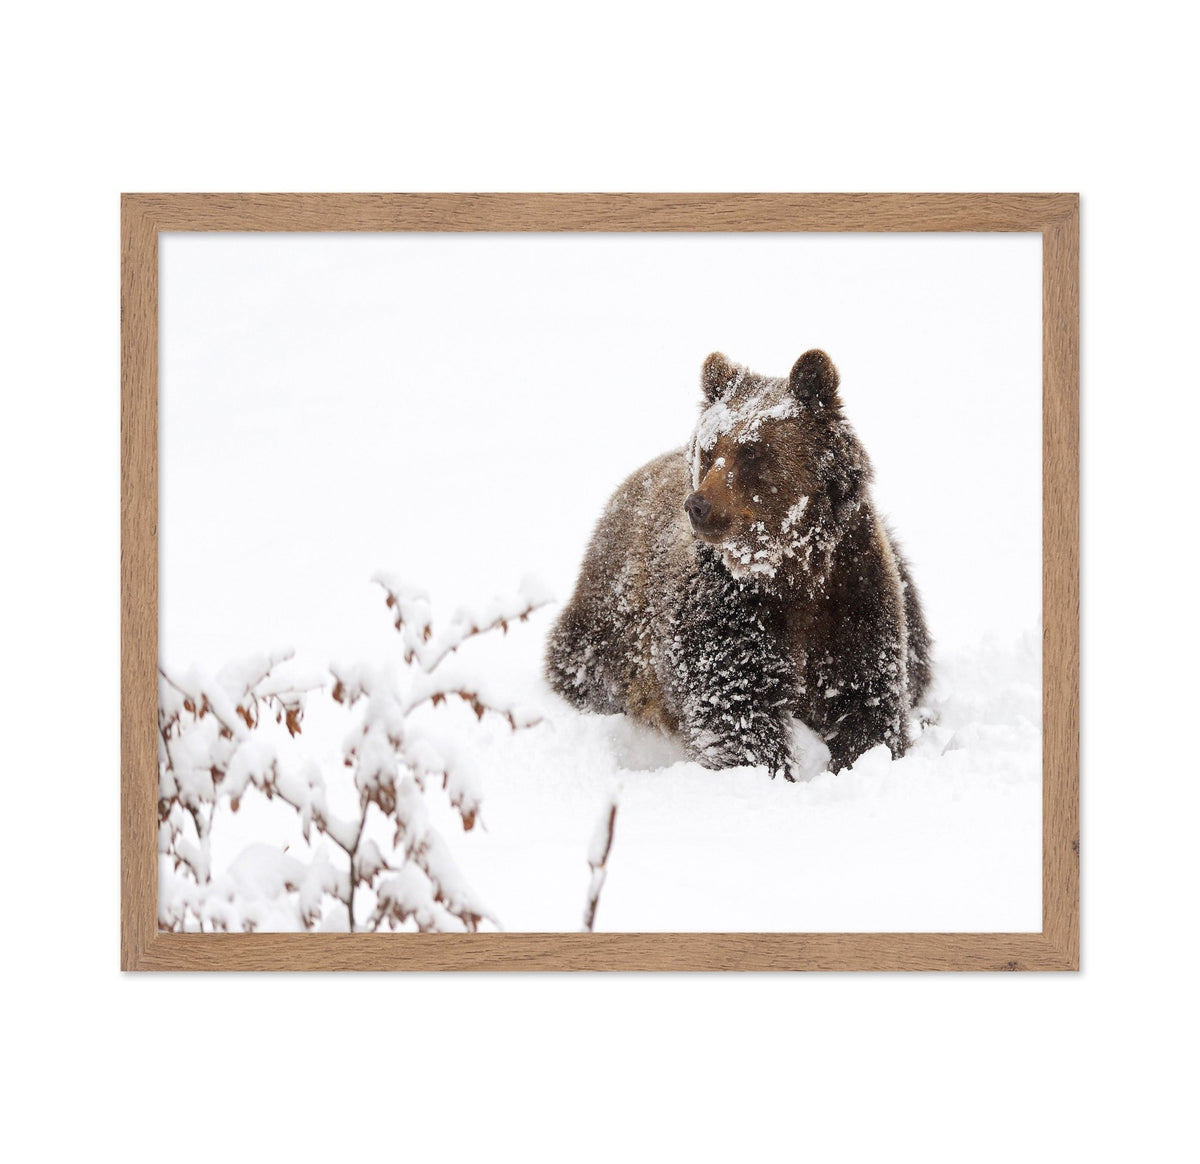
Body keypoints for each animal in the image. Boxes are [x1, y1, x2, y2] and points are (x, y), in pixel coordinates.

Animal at [544, 350, 932, 778]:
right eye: (709, 449)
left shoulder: (852, 591)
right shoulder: (728, 610)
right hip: (609, 628)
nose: (698, 505)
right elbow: (735, 708)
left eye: (752, 451)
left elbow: (865, 697)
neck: (790, 569)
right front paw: (770, 770)